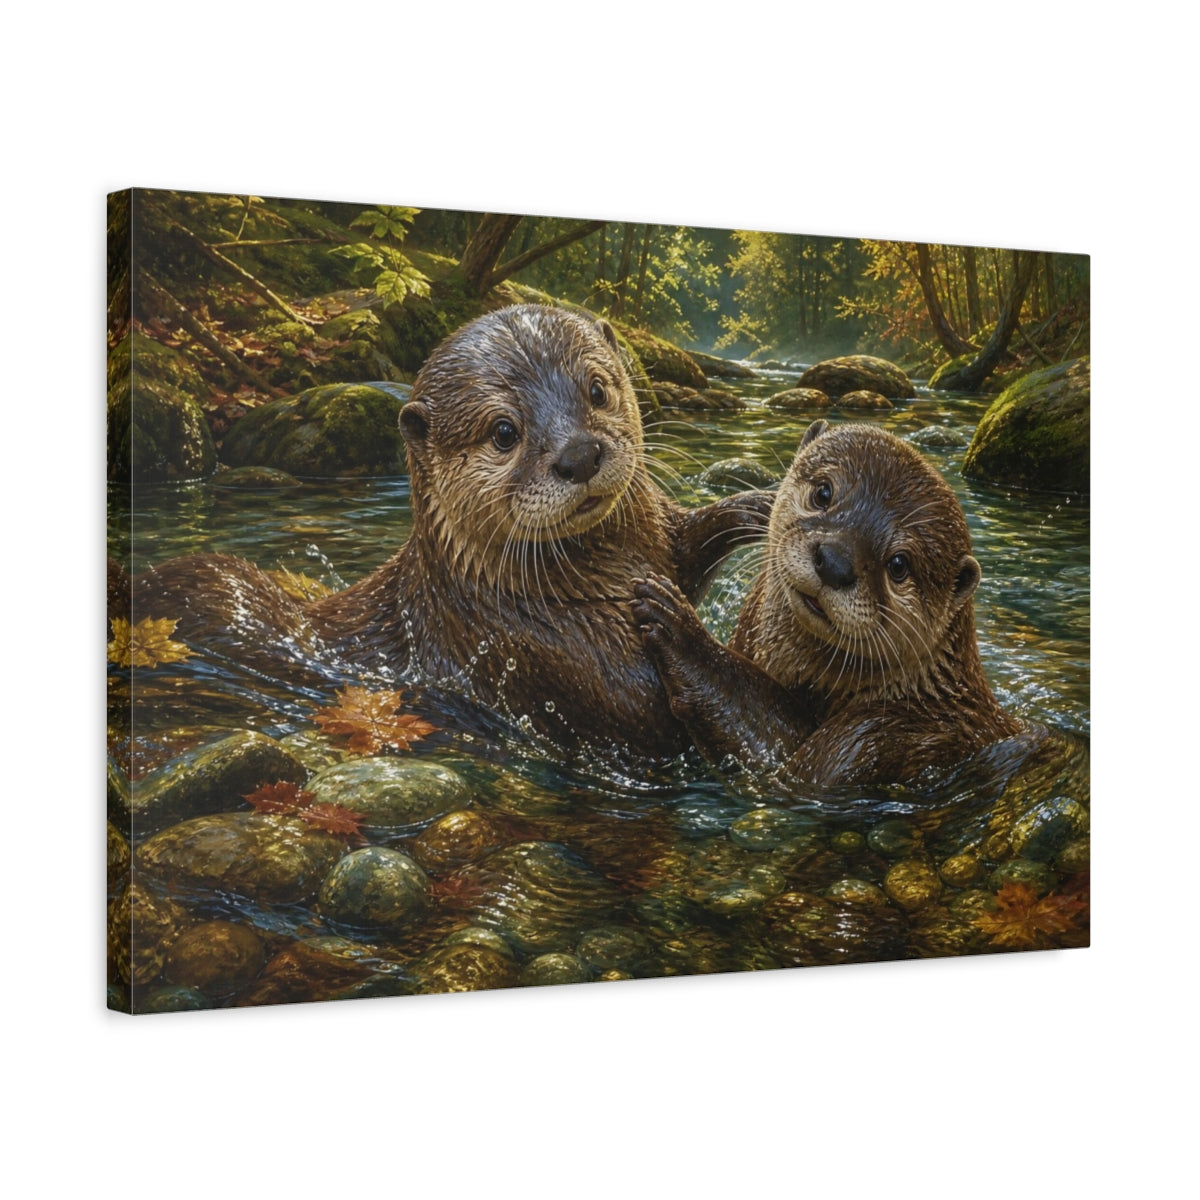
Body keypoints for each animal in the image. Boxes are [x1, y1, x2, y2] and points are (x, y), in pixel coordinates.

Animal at [133, 305, 771, 761]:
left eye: (596, 389)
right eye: (504, 431)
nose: (580, 455)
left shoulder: (658, 537)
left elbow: (690, 542)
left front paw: (760, 507)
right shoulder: (560, 665)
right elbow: (664, 716)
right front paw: (677, 629)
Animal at [631, 420, 1022, 787]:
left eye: (899, 565)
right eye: (823, 493)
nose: (835, 562)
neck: (920, 695)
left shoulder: (872, 740)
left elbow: (786, 757)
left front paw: (681, 632)